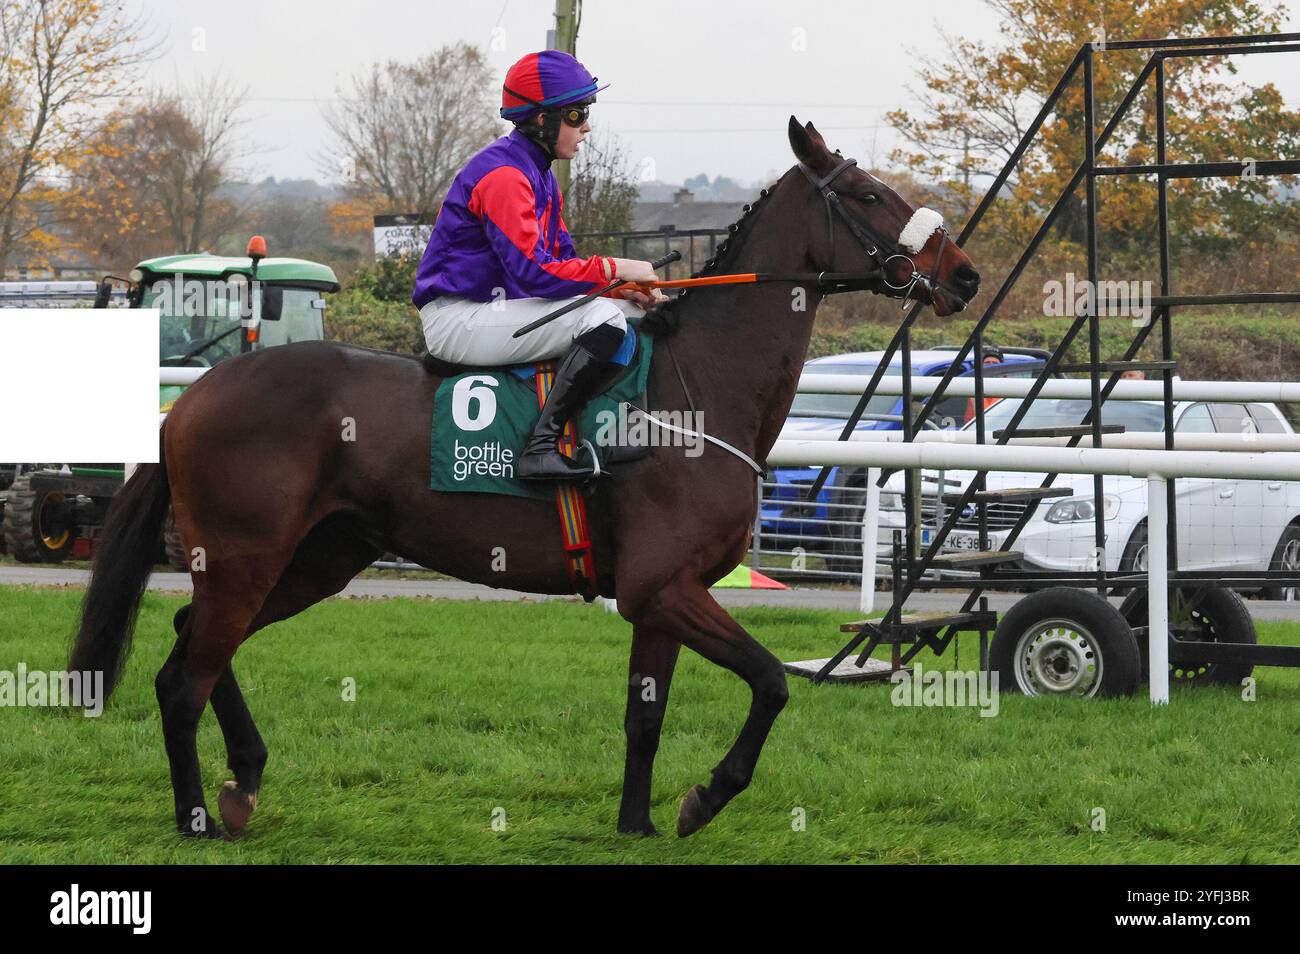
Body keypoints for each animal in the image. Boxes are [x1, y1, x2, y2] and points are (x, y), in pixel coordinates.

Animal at [68, 119, 977, 842]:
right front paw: (705, 798)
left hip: (315, 558)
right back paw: (198, 816)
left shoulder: (660, 594)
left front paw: (638, 822)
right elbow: (770, 681)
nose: (964, 274)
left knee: (192, 640)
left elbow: (645, 715)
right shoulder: (665, 586)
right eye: (866, 193)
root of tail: (192, 399)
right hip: (248, 555)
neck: (692, 389)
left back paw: (244, 782)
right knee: (186, 678)